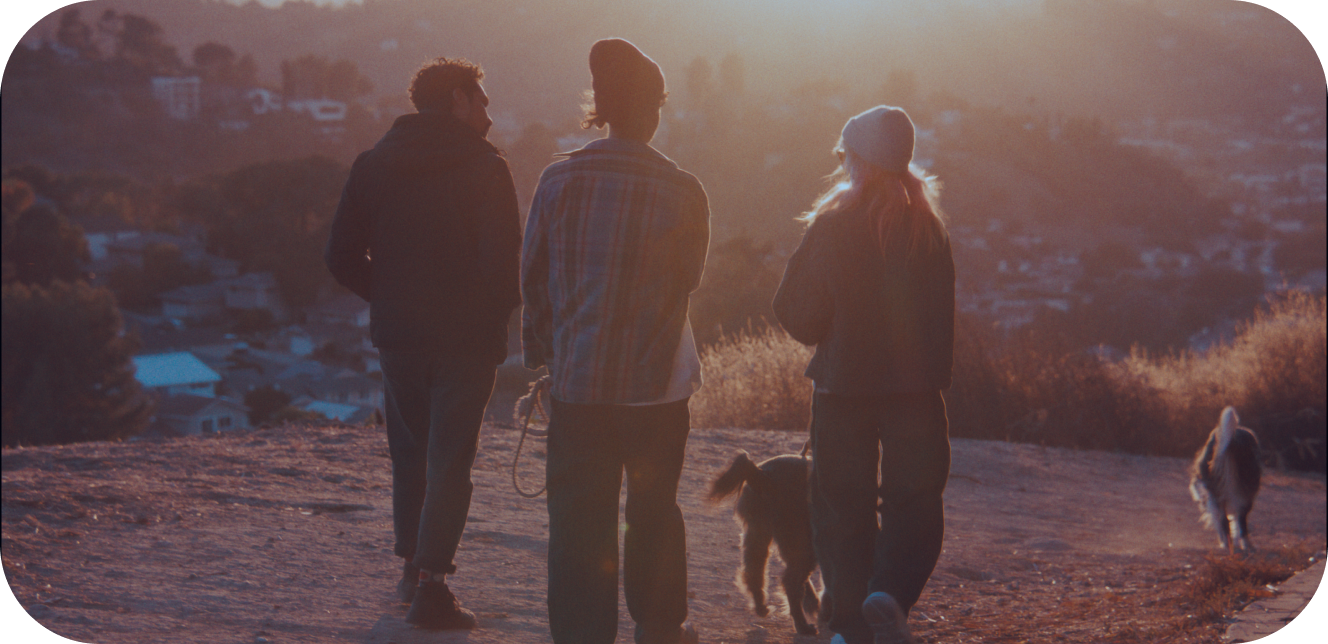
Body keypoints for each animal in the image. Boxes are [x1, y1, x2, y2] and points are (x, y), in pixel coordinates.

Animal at [706, 448, 818, 634]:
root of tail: (762, 476)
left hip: (759, 530)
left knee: (754, 572)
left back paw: (762, 606)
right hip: (800, 539)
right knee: (791, 581)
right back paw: (803, 625)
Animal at [1195, 406, 1264, 552]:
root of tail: (1232, 440)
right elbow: (1238, 524)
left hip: (1217, 495)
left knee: (1224, 521)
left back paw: (1228, 545)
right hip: (1244, 494)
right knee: (1240, 522)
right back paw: (1245, 545)